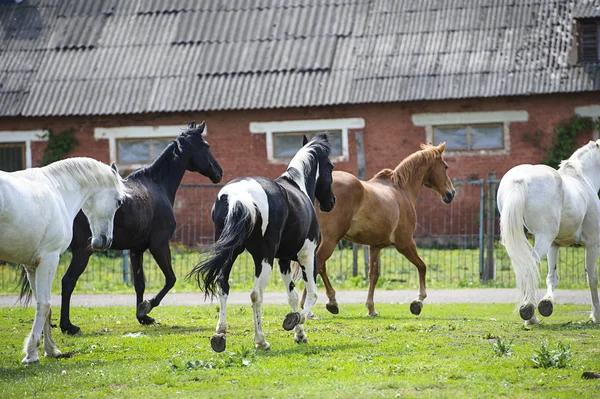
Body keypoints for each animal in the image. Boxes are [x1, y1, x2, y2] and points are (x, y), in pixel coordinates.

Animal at [0, 158, 126, 364]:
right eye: (119, 201)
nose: (105, 241)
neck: (57, 190)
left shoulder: (32, 266)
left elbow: (43, 306)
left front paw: (51, 349)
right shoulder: (49, 259)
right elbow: (44, 305)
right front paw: (31, 354)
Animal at [61, 121, 223, 334]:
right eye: (206, 146)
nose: (219, 172)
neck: (158, 185)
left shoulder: (136, 250)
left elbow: (140, 284)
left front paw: (142, 316)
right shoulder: (159, 245)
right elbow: (170, 279)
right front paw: (146, 307)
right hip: (82, 251)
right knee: (68, 281)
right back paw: (68, 326)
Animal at [188, 133, 336, 352]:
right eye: (331, 166)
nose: (331, 202)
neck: (297, 185)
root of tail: (238, 197)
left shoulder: (283, 260)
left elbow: (292, 296)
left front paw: (299, 334)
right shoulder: (307, 255)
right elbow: (311, 295)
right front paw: (296, 321)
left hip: (230, 253)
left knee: (223, 284)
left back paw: (220, 335)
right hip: (263, 259)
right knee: (256, 294)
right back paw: (261, 340)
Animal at [302, 142, 458, 318]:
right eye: (445, 166)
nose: (451, 193)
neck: (401, 190)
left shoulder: (375, 246)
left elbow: (373, 275)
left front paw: (371, 308)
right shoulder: (405, 243)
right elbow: (422, 266)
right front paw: (418, 301)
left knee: (319, 266)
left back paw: (330, 302)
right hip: (330, 240)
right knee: (317, 264)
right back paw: (308, 308)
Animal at [496, 140, 600, 324]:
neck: (582, 178)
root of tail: (520, 180)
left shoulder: (554, 245)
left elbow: (552, 277)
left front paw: (547, 303)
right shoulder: (592, 245)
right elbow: (592, 278)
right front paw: (596, 314)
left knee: (523, 267)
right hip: (543, 240)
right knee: (529, 266)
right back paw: (529, 313)